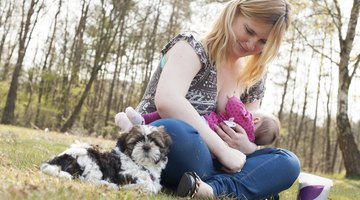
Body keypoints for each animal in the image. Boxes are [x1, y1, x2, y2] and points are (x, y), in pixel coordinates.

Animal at [40, 125, 172, 194]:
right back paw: (108, 185)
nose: (146, 146)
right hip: (90, 158)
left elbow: (154, 186)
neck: (141, 165)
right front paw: (133, 188)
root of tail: (55, 160)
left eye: (155, 142)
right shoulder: (125, 174)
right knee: (87, 180)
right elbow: (148, 186)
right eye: (136, 142)